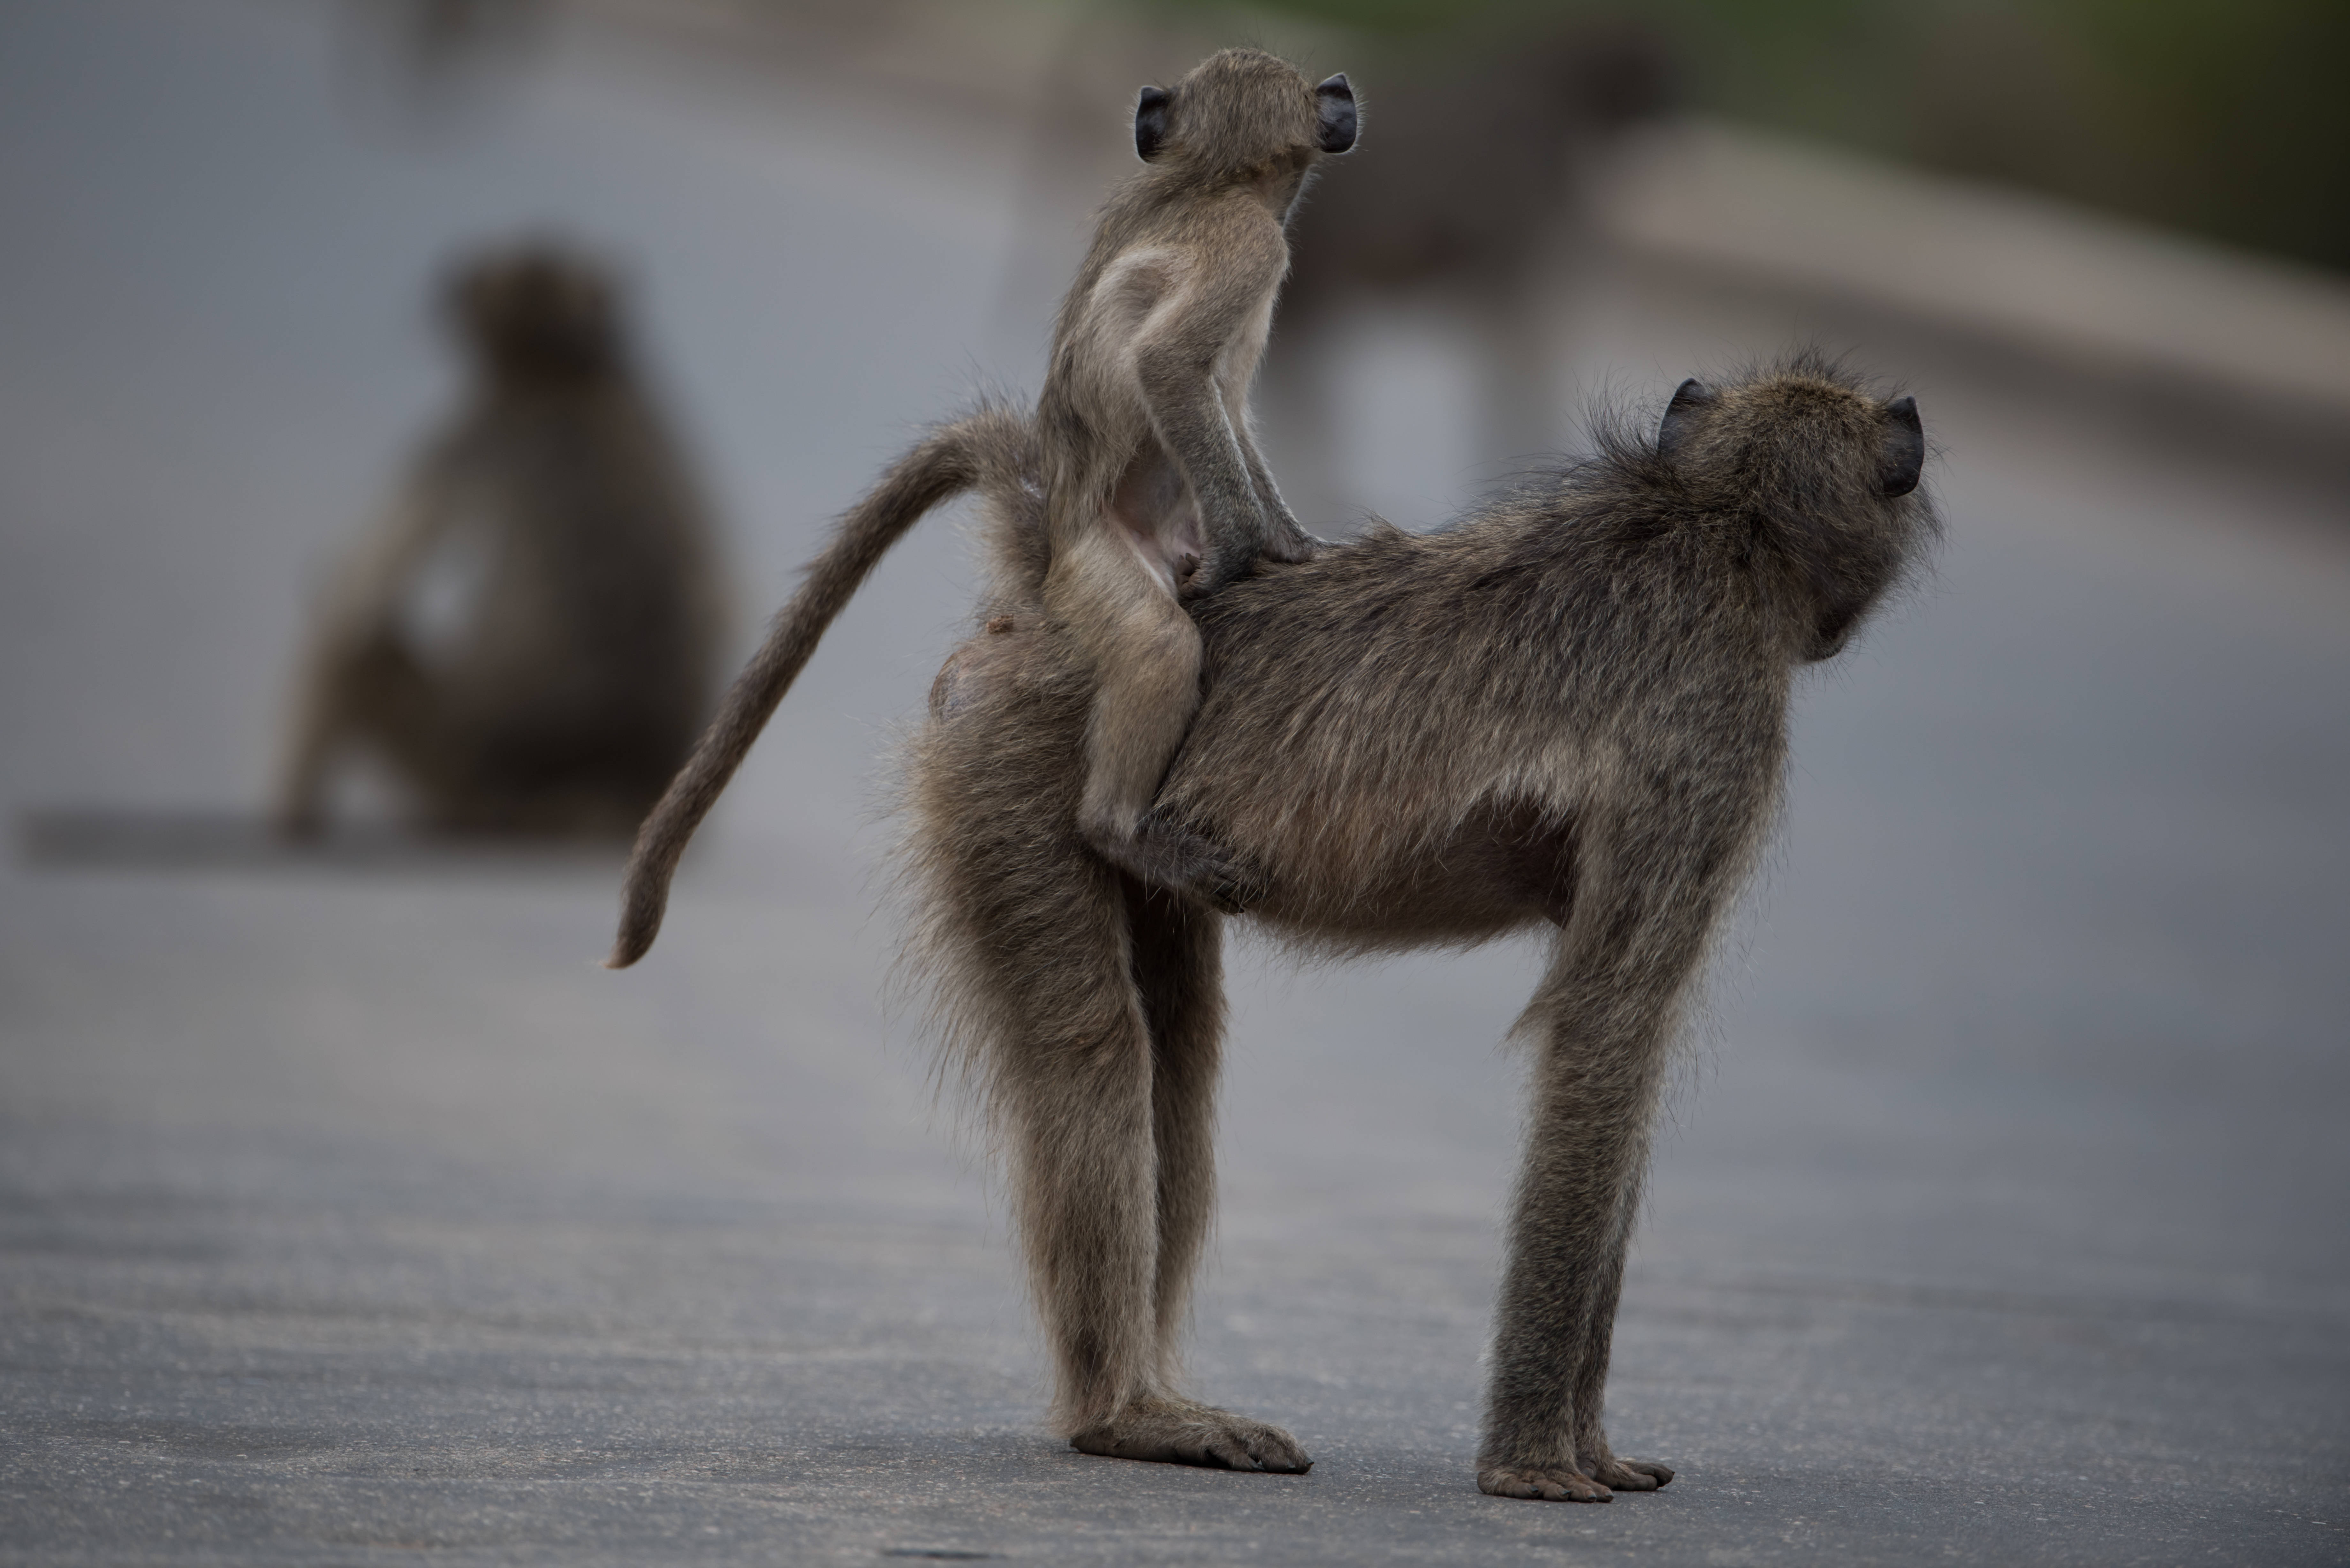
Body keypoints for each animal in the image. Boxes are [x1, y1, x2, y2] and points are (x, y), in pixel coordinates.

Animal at [276, 241, 725, 840]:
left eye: (487, 272)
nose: (447, 282)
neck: (572, 371)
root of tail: (603, 789)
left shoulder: (473, 432)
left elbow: (355, 592)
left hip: (454, 769)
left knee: (360, 652)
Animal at [601, 48, 1354, 954]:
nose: (1343, 102)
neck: (1211, 178)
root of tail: (1049, 540)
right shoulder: (1247, 242)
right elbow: (1170, 365)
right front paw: (1249, 552)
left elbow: (1230, 416)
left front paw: (1293, 545)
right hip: (1094, 567)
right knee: (1155, 643)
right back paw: (1117, 830)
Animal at [886, 355, 1936, 1489]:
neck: (1723, 522)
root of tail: (1051, 601)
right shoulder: (1711, 730)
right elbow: (1607, 1028)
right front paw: (1533, 1463)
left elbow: (1622, 1066)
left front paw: (1596, 1451)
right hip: (1019, 766)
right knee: (1097, 1053)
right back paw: (1124, 1414)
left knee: (1174, 1059)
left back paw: (1155, 1393)